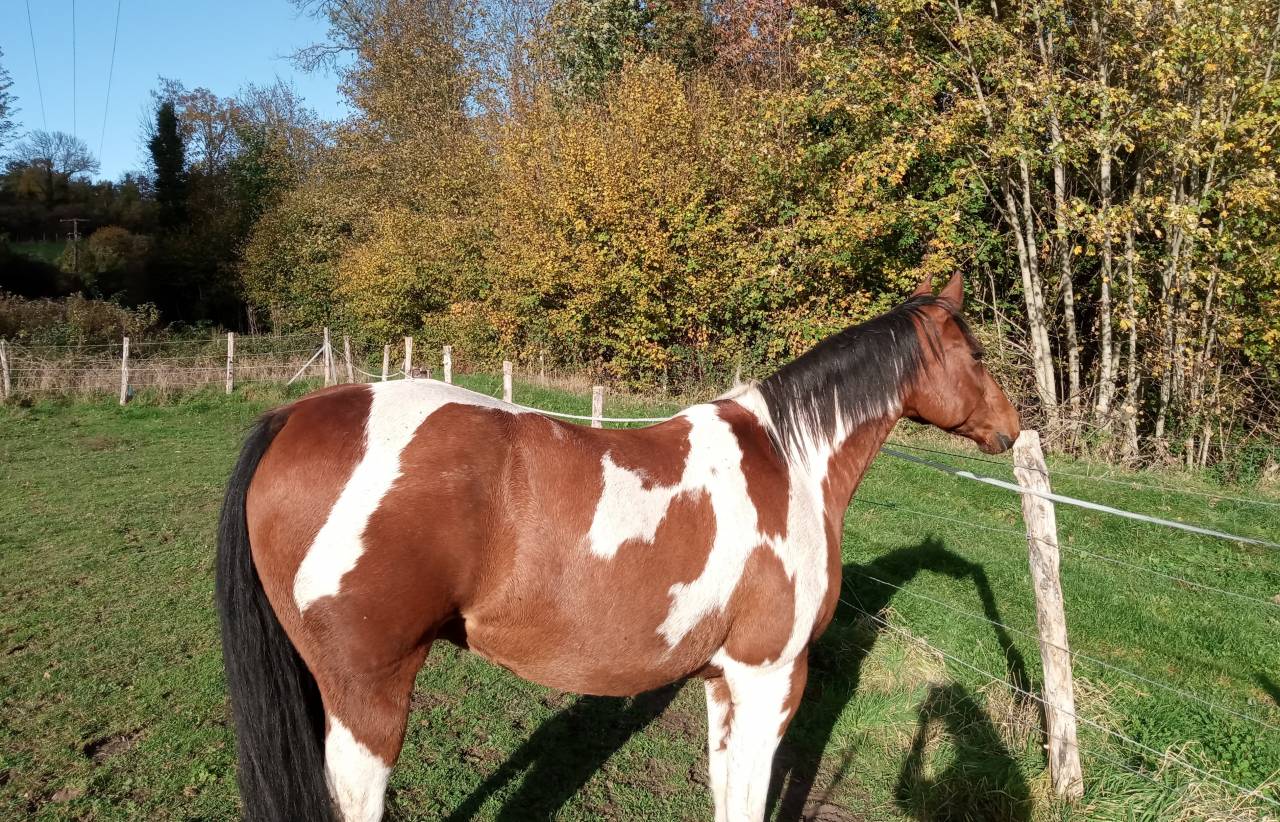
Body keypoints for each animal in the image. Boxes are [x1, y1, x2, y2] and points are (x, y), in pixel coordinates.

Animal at [215, 272, 1019, 822]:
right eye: (978, 352)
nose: (1012, 430)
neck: (788, 459)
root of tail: (293, 416)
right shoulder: (769, 677)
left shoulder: (723, 679)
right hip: (367, 697)